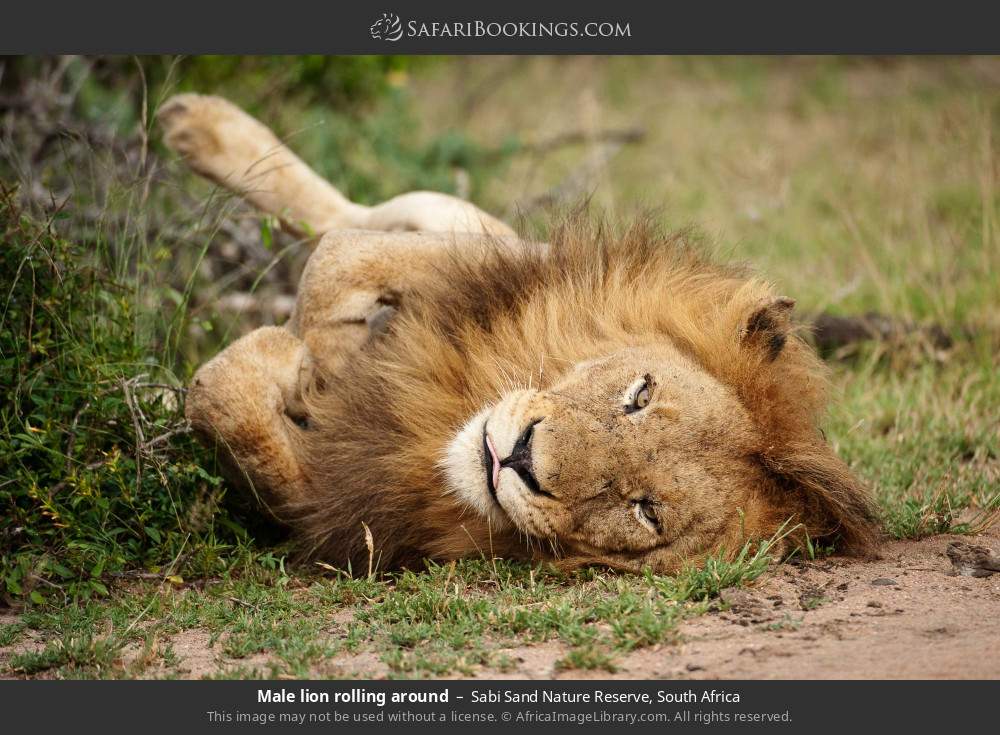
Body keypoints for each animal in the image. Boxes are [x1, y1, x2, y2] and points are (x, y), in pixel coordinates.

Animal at [159, 94, 878, 574]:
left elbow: (237, 420)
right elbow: (338, 260)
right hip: (456, 218)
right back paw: (198, 124)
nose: (522, 457)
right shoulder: (503, 264)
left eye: (646, 510)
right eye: (638, 394)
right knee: (350, 211)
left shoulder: (349, 507)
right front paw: (323, 354)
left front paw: (287, 363)